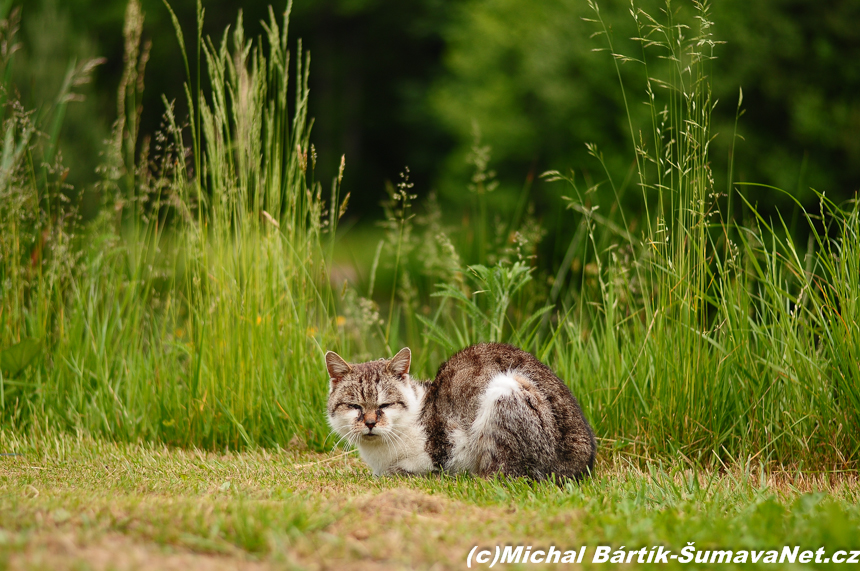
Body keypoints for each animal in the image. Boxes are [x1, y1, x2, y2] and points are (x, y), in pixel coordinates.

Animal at [324, 344, 596, 482]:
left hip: (504, 390)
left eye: (385, 405)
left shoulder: (439, 452)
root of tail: (584, 463)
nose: (370, 423)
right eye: (355, 406)